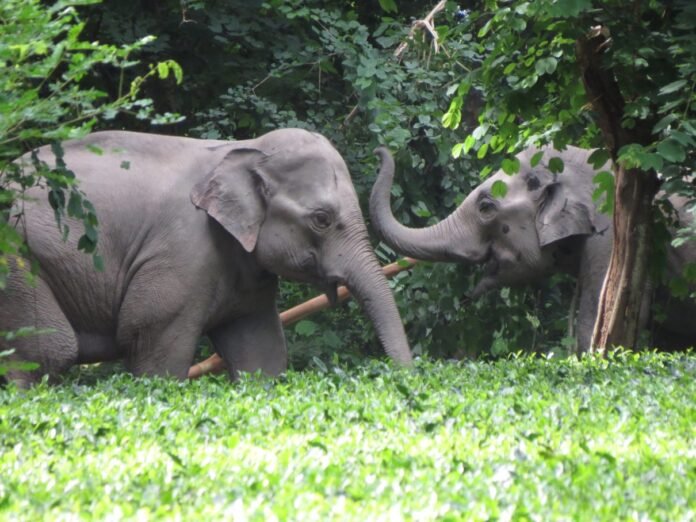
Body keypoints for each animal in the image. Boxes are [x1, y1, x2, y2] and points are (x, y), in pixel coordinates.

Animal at [1, 129, 412, 386]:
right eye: (322, 219)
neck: (243, 148)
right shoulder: (181, 254)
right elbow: (150, 338)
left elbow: (260, 351)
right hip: (18, 255)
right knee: (48, 351)